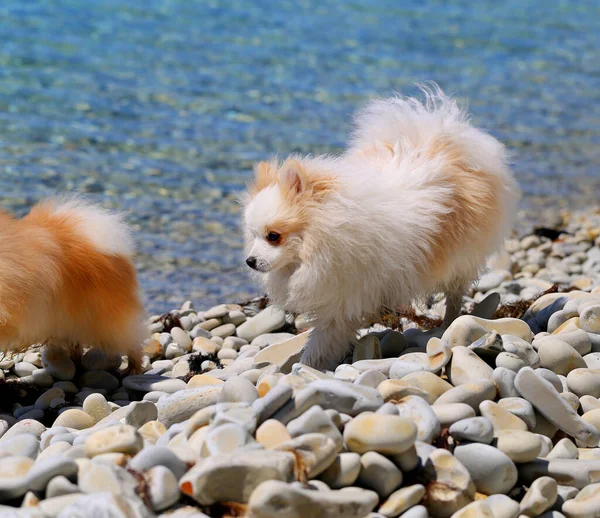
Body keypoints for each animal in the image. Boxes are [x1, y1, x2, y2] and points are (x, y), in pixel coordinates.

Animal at [244, 86, 520, 370]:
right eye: (253, 236)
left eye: (273, 236)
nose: (249, 261)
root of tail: (444, 140)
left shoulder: (342, 299)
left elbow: (323, 340)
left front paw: (305, 365)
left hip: (459, 258)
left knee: (454, 295)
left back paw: (446, 325)